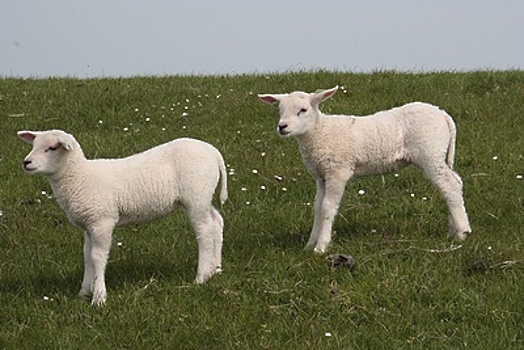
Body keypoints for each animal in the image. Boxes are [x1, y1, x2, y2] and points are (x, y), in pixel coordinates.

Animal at [17, 129, 227, 306]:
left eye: (52, 148)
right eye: (33, 145)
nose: (26, 162)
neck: (79, 176)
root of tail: (213, 152)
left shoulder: (102, 220)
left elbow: (97, 256)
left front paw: (99, 297)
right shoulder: (89, 224)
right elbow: (86, 256)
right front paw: (84, 292)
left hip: (196, 195)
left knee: (204, 231)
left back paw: (201, 276)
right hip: (203, 197)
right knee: (216, 222)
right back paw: (215, 269)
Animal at [260, 86, 472, 253]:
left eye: (303, 110)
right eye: (280, 109)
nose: (282, 126)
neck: (319, 132)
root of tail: (443, 114)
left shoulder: (338, 171)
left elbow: (328, 207)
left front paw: (321, 246)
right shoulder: (321, 176)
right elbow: (318, 207)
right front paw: (309, 244)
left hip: (429, 152)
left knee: (450, 185)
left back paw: (462, 232)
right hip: (436, 154)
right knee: (455, 182)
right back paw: (454, 228)